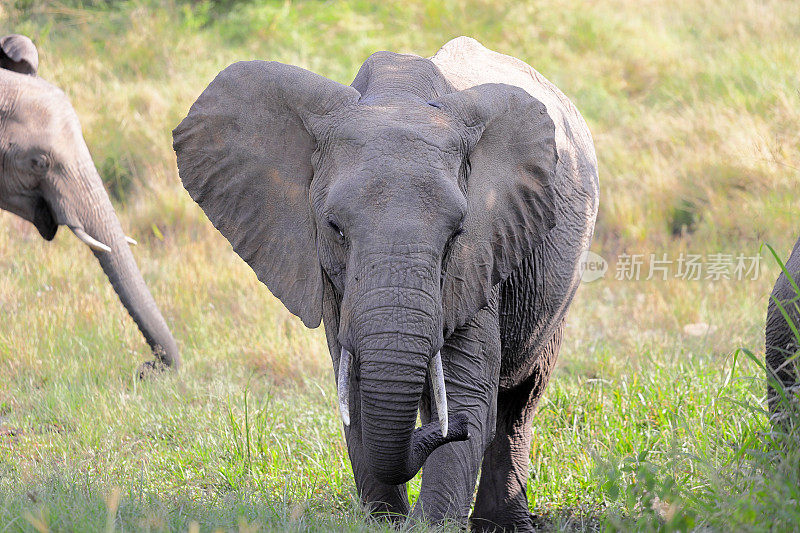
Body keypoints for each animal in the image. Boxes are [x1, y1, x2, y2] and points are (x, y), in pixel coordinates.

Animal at [175, 36, 596, 528]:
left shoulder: (483, 251)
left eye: (456, 233)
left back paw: (503, 522)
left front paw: (432, 525)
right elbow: (354, 385)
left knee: (519, 400)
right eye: (335, 228)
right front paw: (384, 523)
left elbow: (466, 384)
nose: (449, 431)